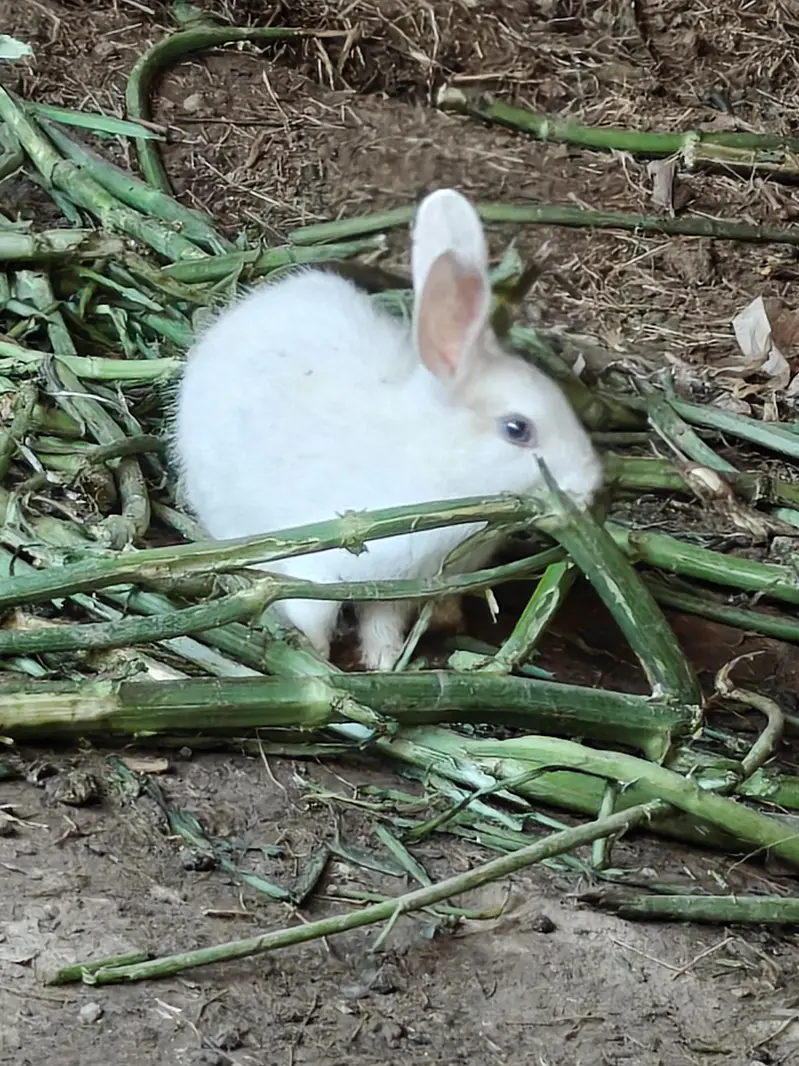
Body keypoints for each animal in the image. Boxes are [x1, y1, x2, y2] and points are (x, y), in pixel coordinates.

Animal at [173, 188, 603, 670]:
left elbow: (382, 624)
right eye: (517, 429)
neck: (432, 459)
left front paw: (385, 661)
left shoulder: (393, 593)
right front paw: (319, 660)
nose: (591, 485)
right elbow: (313, 617)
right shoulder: (318, 569)